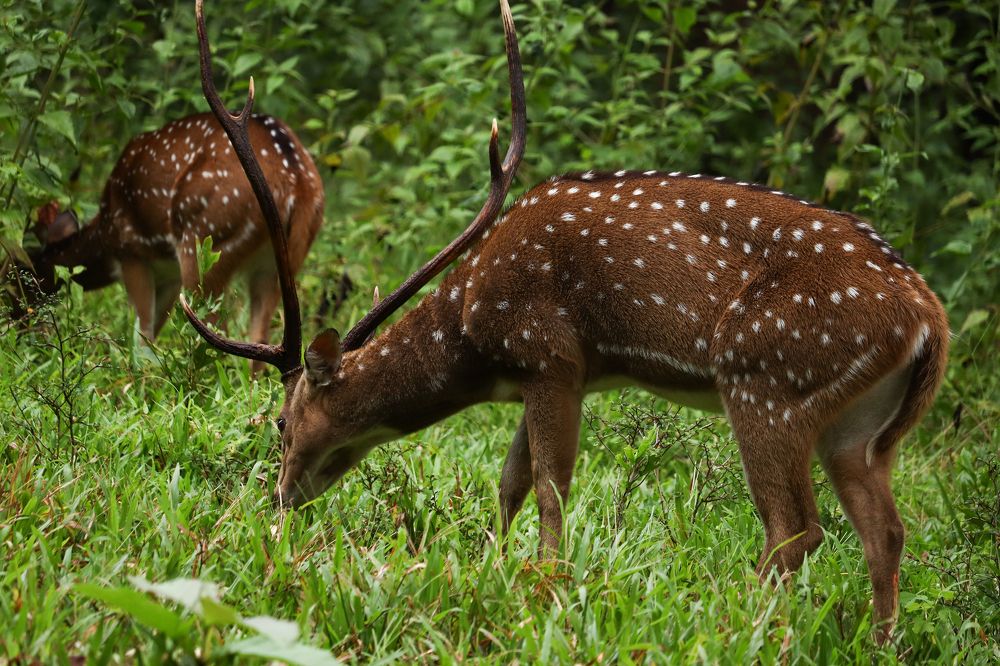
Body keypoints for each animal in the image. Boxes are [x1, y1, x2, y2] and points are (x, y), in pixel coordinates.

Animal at [15, 107, 323, 370]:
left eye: (17, 273)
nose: (18, 327)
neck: (103, 237)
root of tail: (297, 181)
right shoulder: (168, 274)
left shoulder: (131, 250)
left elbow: (142, 337)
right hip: (281, 262)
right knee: (260, 338)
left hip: (207, 241)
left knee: (217, 335)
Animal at [183, 0, 948, 643]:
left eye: (281, 422)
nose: (280, 501)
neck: (473, 332)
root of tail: (927, 319)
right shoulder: (549, 374)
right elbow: (511, 481)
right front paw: (492, 569)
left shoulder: (548, 352)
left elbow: (551, 489)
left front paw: (544, 592)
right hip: (859, 427)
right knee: (885, 532)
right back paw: (880, 643)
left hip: (767, 381)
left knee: (796, 529)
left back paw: (736, 625)